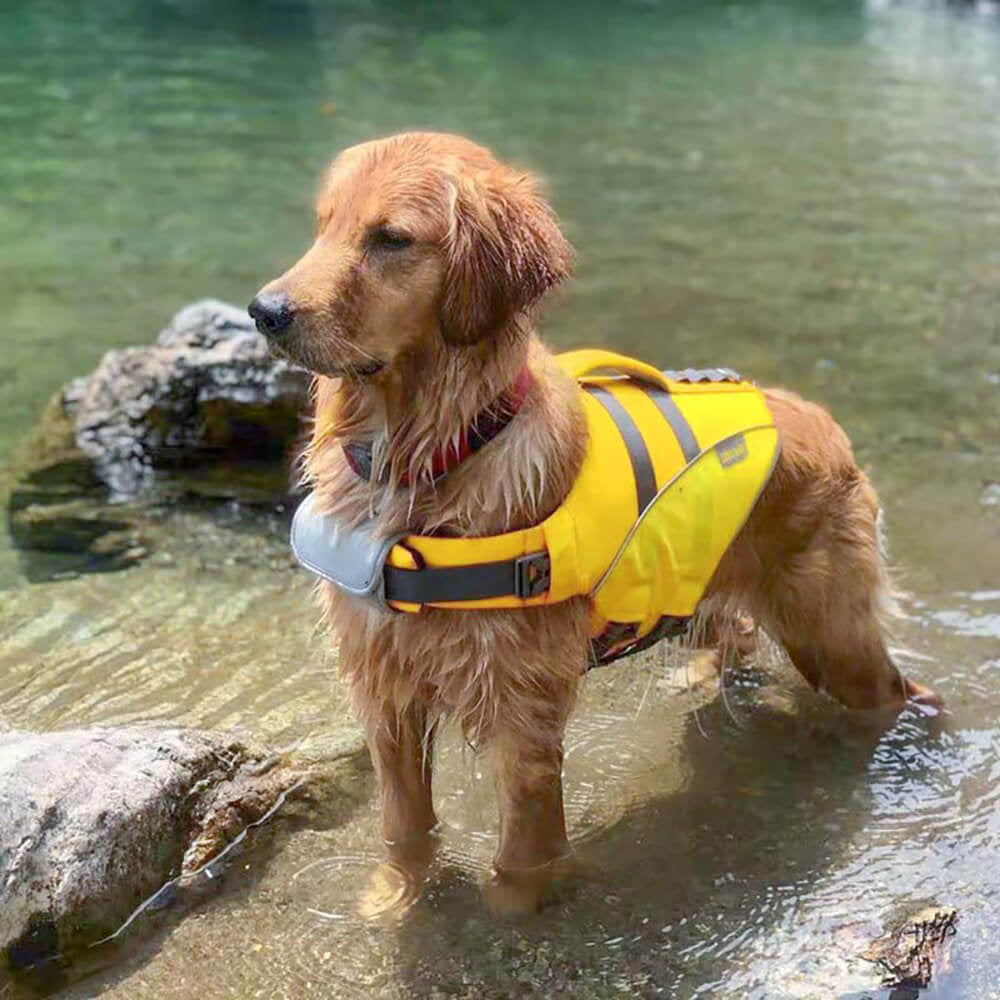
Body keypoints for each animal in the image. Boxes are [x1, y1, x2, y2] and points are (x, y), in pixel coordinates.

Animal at [250, 131, 936, 916]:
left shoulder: (522, 709)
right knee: (733, 636)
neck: (433, 458)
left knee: (898, 691)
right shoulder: (383, 685)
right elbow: (405, 827)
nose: (263, 311)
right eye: (324, 225)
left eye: (391, 238)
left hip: (833, 635)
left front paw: (513, 914)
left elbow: (523, 856)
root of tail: (827, 424)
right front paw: (395, 901)